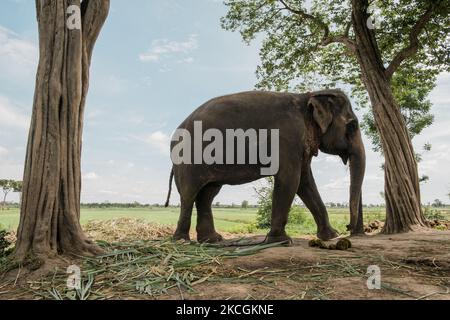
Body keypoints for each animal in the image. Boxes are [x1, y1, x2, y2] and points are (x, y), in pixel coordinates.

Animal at [165, 89, 366, 244]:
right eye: (353, 125)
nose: (348, 227)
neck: (308, 96)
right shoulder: (287, 138)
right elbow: (290, 179)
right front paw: (281, 241)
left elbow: (305, 182)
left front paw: (331, 236)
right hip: (187, 162)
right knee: (189, 195)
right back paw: (182, 240)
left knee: (207, 195)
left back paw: (211, 240)